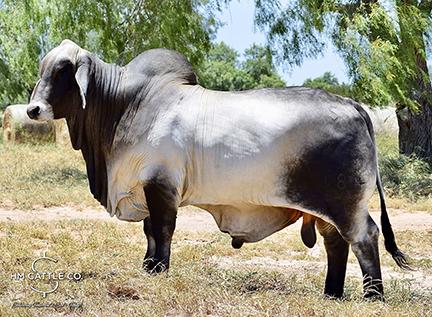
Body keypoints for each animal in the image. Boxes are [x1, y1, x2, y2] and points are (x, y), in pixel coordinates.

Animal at [25, 39, 410, 298]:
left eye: (62, 71)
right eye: (43, 69)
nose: (32, 110)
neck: (126, 105)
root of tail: (353, 105)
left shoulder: (162, 185)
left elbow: (162, 230)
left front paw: (159, 270)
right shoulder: (149, 188)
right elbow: (149, 231)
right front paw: (148, 267)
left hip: (346, 203)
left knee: (364, 237)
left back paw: (372, 295)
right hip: (325, 208)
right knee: (336, 243)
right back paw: (331, 292)